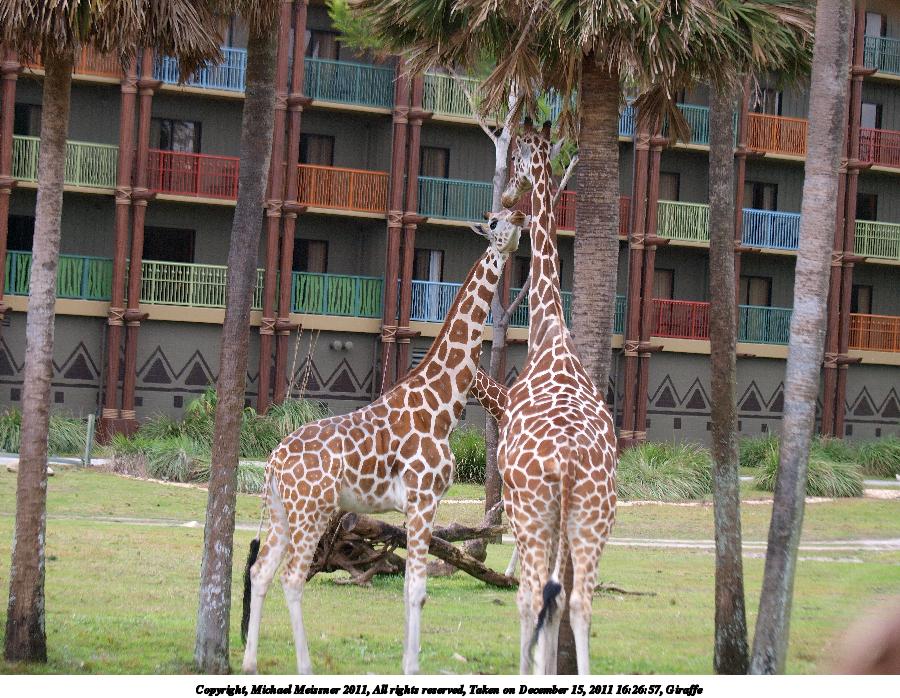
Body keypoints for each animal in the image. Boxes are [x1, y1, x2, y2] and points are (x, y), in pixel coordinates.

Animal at [240, 210, 523, 675]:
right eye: (495, 222)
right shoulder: (425, 498)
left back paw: (248, 662)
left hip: (281, 511)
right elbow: (417, 588)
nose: (521, 219)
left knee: (261, 571)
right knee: (291, 576)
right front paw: (412, 666)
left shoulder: (414, 505)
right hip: (311, 510)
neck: (440, 406)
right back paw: (305, 666)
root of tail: (274, 461)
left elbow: (412, 583)